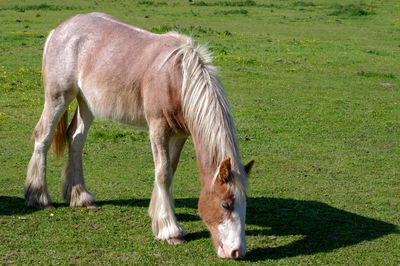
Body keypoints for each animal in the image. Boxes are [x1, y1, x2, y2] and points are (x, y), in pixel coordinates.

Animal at [25, 13, 255, 260]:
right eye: (225, 204)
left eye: (245, 203)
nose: (236, 251)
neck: (177, 79)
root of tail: (60, 29)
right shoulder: (158, 128)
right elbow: (163, 173)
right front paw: (170, 230)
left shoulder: (179, 134)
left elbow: (170, 169)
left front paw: (158, 215)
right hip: (58, 97)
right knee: (43, 137)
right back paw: (38, 197)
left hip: (87, 102)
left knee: (75, 139)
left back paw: (80, 196)